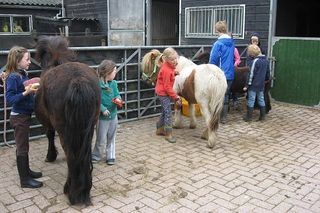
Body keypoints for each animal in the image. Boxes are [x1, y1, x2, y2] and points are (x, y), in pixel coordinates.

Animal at [34, 35, 100, 206]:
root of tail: (78, 81)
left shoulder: (48, 123)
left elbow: (50, 135)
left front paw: (50, 156)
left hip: (65, 131)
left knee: (71, 154)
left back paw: (71, 191)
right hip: (88, 128)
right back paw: (84, 189)